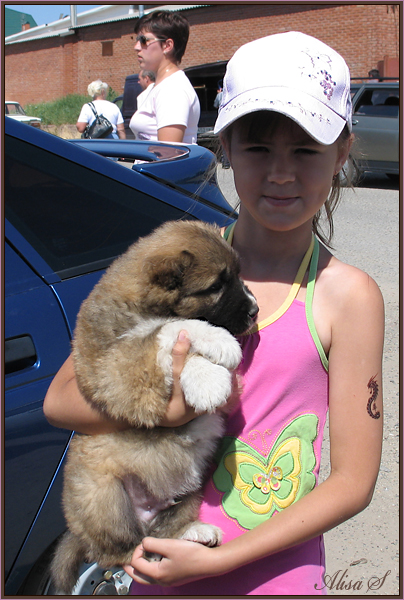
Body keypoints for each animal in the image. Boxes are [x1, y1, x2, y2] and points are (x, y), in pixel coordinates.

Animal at [51, 218, 258, 592]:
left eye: (238, 274)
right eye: (216, 286)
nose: (255, 310)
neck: (141, 306)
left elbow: (169, 328)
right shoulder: (113, 366)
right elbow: (169, 328)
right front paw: (213, 364)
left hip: (191, 492)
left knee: (162, 531)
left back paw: (194, 532)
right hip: (104, 497)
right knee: (123, 551)